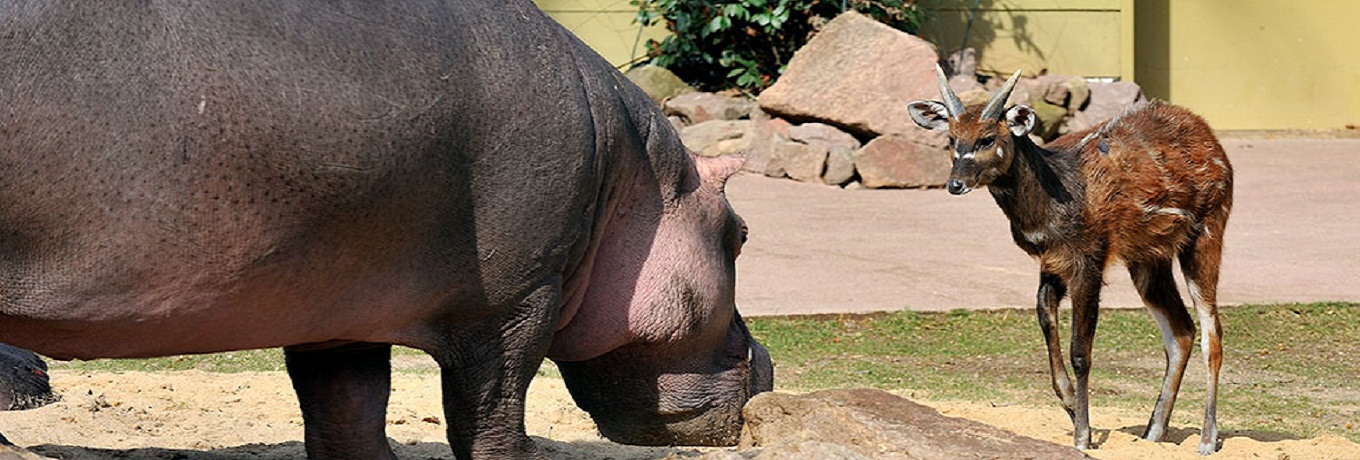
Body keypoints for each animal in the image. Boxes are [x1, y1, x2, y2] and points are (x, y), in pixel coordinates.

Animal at [0, 1, 773, 459]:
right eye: (740, 235)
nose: (766, 365)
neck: (633, 177)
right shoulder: (517, 300)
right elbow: (492, 415)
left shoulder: (338, 313)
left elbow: (348, 415)